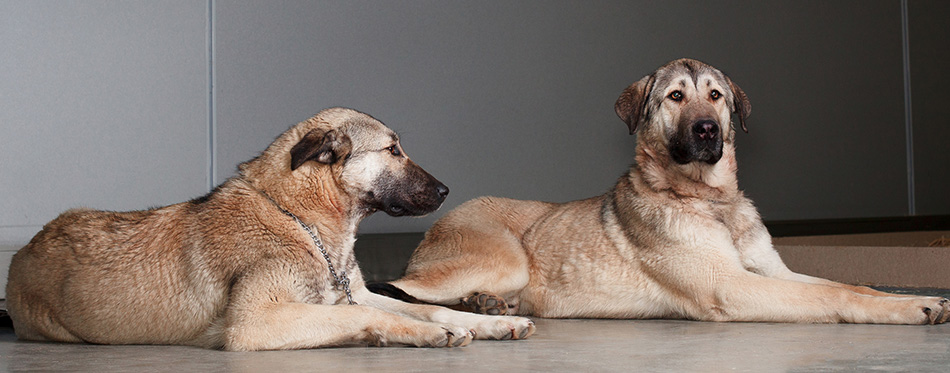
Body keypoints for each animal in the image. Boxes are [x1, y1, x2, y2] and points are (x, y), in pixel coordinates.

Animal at [7, 107, 540, 348]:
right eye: (393, 150)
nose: (448, 190)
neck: (303, 222)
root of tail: (24, 251)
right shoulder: (254, 322)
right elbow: (380, 315)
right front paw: (421, 332)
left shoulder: (357, 294)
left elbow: (426, 307)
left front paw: (491, 321)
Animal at [372, 59, 950, 324]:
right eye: (675, 97)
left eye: (715, 96)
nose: (707, 131)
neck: (709, 201)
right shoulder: (730, 287)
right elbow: (832, 295)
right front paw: (908, 310)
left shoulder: (773, 273)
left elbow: (853, 283)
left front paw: (912, 299)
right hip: (504, 257)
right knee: (397, 288)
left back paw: (486, 305)